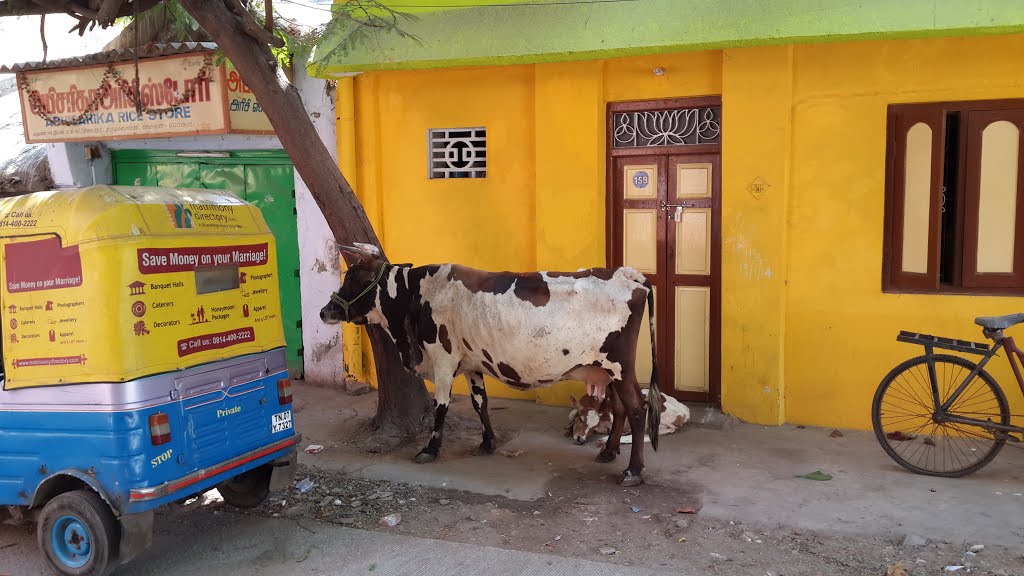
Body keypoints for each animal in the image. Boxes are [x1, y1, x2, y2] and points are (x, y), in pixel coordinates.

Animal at [319, 241, 663, 483]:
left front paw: (430, 449)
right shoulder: (471, 364)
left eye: (355, 277)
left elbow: (441, 406)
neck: (416, 296)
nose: (325, 311)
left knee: (636, 408)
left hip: (620, 366)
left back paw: (633, 471)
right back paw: (608, 451)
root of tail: (627, 274)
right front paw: (487, 442)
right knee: (619, 408)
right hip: (607, 370)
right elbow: (479, 403)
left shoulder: (443, 359)